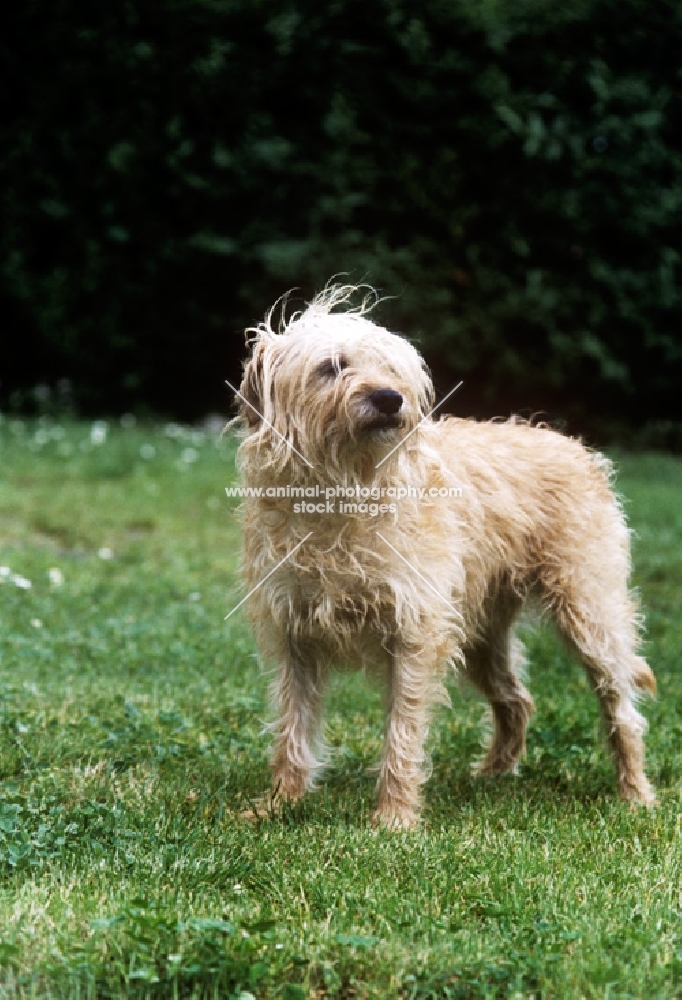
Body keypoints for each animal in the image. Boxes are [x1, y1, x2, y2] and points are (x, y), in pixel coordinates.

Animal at [232, 284, 652, 828]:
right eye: (332, 366)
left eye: (391, 369)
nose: (389, 399)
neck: (343, 492)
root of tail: (578, 449)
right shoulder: (294, 638)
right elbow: (292, 729)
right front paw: (280, 803)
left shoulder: (414, 633)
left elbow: (402, 731)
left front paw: (394, 817)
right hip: (479, 637)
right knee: (517, 699)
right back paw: (494, 773)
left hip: (589, 616)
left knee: (621, 706)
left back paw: (636, 793)